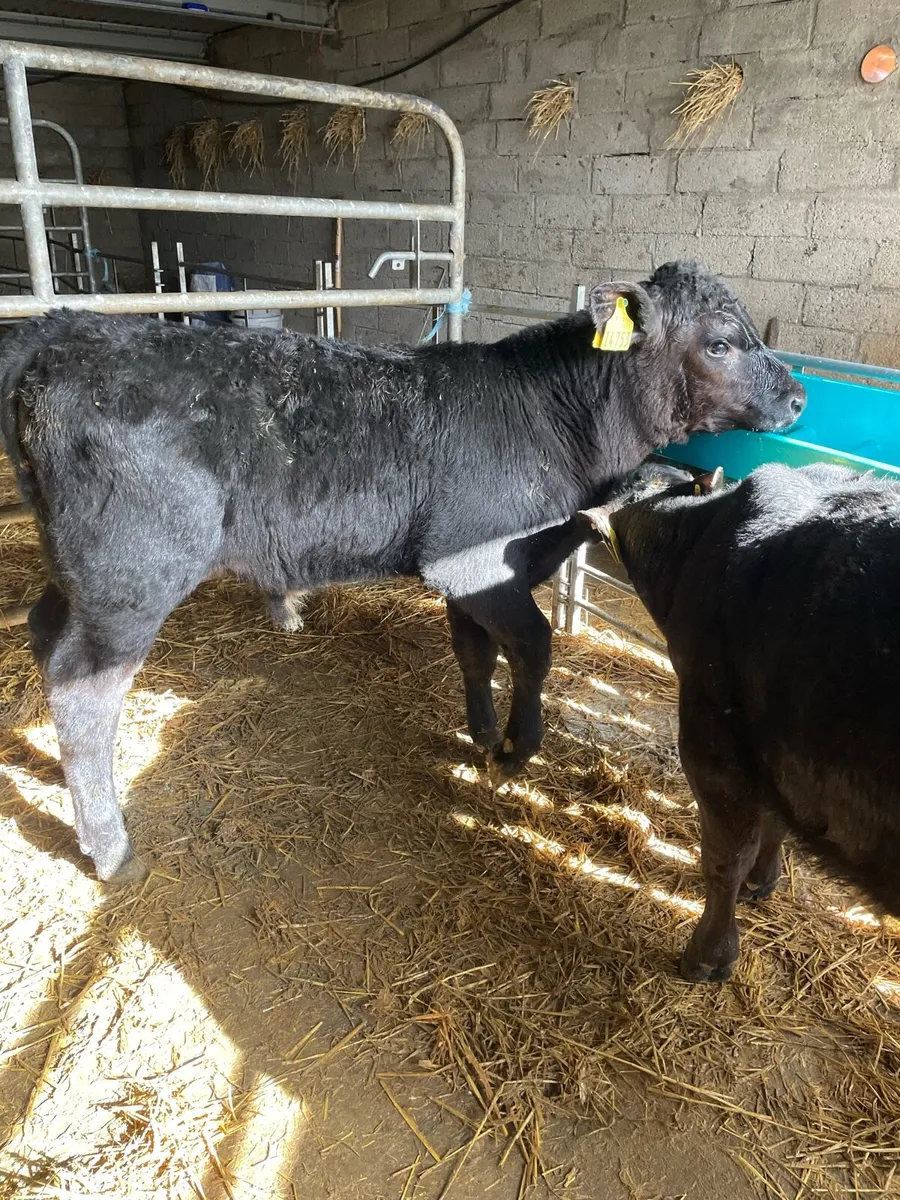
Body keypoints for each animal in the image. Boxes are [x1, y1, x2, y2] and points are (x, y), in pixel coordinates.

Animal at [0, 260, 804, 883]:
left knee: (43, 633)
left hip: (81, 570)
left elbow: (475, 652)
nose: (798, 396)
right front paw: (517, 749)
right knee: (83, 694)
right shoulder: (475, 559)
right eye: (721, 342)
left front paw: (481, 735)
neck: (553, 425)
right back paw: (110, 847)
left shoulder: (461, 571)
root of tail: (66, 333)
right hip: (131, 575)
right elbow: (533, 646)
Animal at [580, 460, 900, 981]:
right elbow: (775, 824)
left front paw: (710, 953)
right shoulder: (773, 752)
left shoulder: (713, 743)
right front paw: (763, 880)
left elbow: (725, 859)